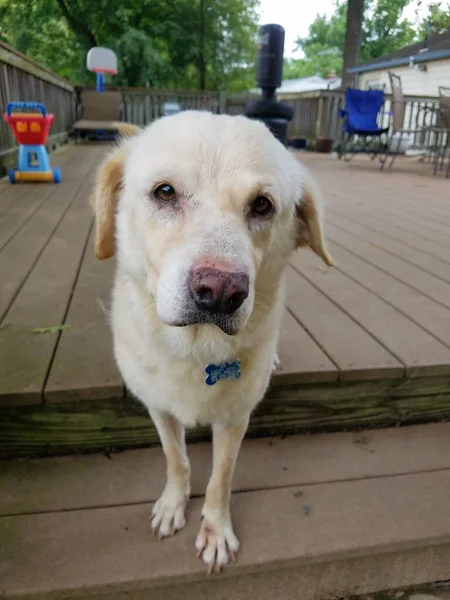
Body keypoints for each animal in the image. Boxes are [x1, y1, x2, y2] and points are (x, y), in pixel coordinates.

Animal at [91, 111, 334, 572]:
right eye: (165, 192)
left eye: (262, 204)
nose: (221, 292)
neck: (195, 348)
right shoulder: (158, 407)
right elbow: (177, 460)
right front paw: (173, 505)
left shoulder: (235, 417)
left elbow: (221, 478)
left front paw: (216, 531)